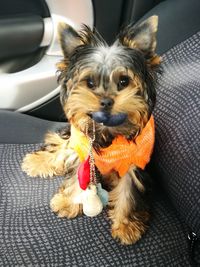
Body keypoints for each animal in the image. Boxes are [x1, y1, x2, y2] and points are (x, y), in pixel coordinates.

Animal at [21, 15, 161, 246]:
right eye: (90, 82)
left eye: (124, 81)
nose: (105, 101)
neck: (106, 132)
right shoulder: (84, 152)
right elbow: (78, 174)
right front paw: (68, 202)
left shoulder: (134, 161)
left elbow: (129, 189)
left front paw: (126, 225)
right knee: (63, 146)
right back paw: (37, 161)